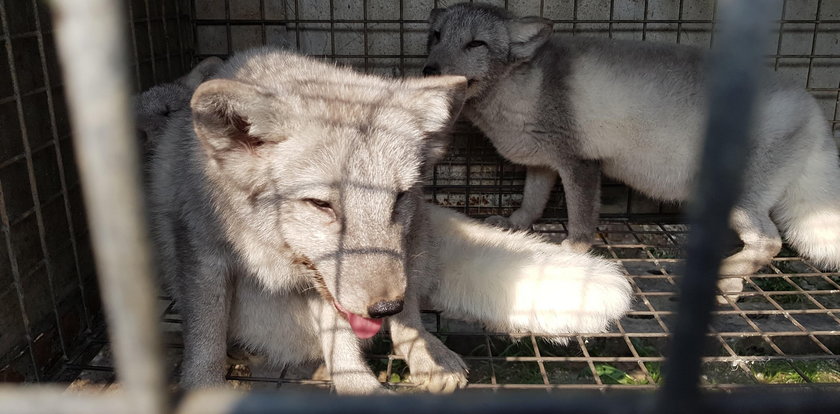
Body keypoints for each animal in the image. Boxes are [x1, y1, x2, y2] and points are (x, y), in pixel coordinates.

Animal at [143, 47, 632, 392]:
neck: (274, 253)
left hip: (410, 248)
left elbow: (347, 338)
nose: (383, 308)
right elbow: (205, 337)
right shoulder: (200, 253)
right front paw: (203, 387)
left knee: (412, 315)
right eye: (321, 205)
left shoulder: (341, 289)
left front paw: (359, 385)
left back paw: (429, 354)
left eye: (398, 196)